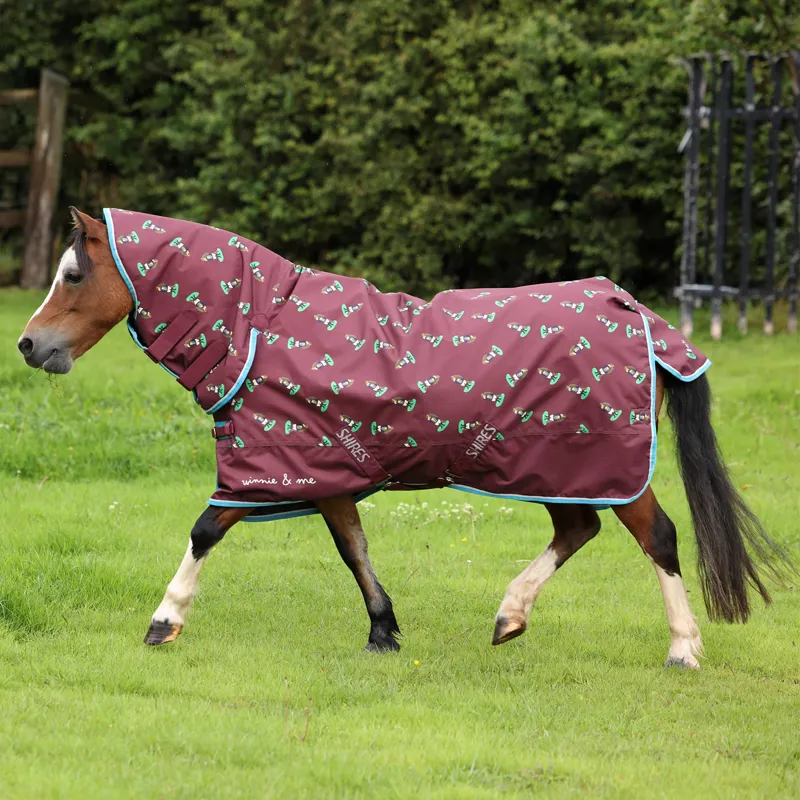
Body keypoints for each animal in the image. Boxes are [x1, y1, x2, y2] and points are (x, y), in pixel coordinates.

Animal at [17, 207, 792, 669]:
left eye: (72, 274)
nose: (28, 345)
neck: (262, 326)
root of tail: (638, 312)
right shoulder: (326, 470)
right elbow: (353, 549)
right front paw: (383, 631)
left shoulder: (268, 468)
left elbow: (207, 528)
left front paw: (164, 620)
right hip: (553, 465)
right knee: (577, 531)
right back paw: (510, 617)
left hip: (605, 466)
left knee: (657, 537)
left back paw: (683, 648)